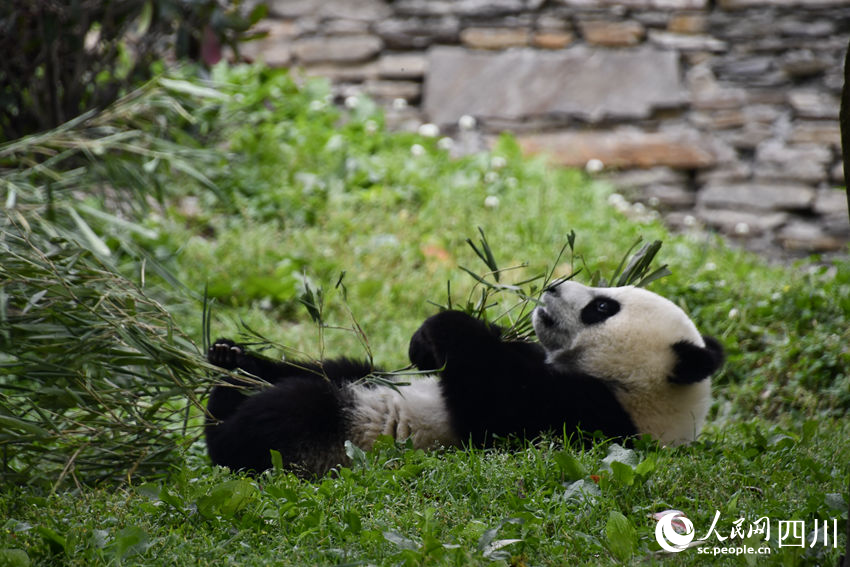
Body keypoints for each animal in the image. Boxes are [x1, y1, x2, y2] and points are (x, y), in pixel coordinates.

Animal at [202, 282, 720, 478]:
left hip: (333, 437)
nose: (552, 286)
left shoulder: (588, 419)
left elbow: (494, 401)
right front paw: (423, 345)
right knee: (323, 369)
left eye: (602, 307)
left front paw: (441, 329)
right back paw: (229, 363)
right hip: (358, 375)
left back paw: (230, 424)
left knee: (296, 406)